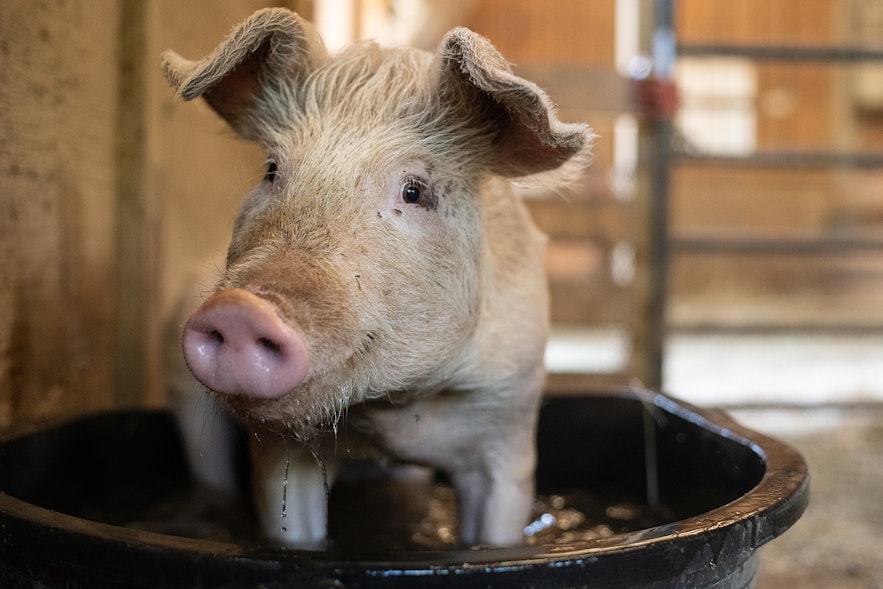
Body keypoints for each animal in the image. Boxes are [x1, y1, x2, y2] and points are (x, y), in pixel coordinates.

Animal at [162, 7, 592, 549]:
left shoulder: (510, 417)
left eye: (414, 191)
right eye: (271, 170)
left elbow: (496, 533)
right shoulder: (281, 450)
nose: (242, 309)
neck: (392, 407)